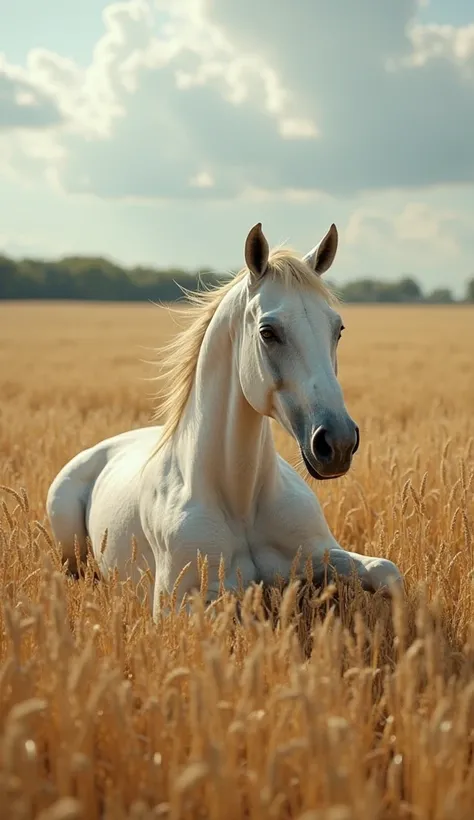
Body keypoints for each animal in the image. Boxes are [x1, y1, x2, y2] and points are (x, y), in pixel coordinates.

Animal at [46, 221, 404, 620]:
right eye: (268, 332)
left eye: (337, 328)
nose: (338, 443)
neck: (241, 500)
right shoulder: (175, 604)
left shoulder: (323, 553)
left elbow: (387, 572)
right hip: (67, 539)